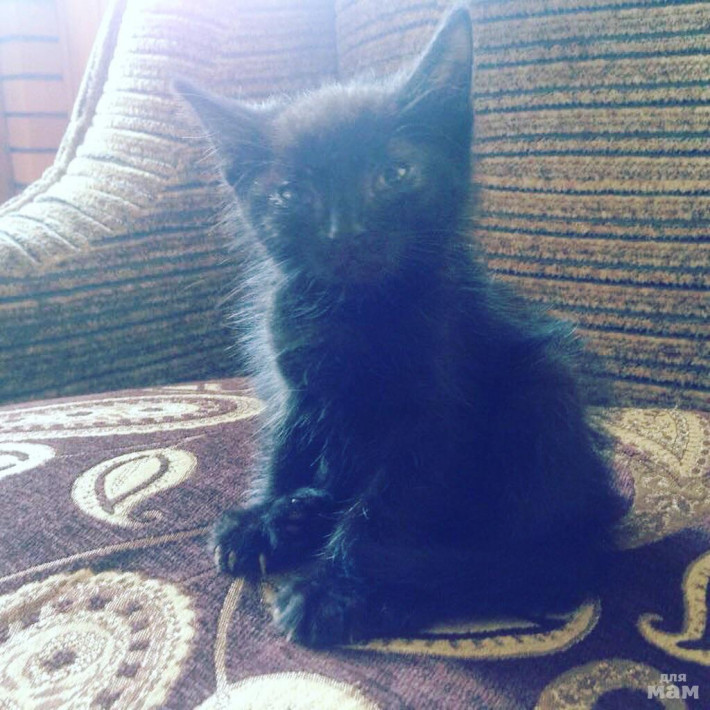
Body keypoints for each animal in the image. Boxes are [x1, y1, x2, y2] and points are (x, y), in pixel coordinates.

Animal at [177, 7, 619, 648]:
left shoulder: (433, 418)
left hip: (545, 385)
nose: (345, 233)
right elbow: (285, 447)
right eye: (290, 193)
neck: (355, 311)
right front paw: (267, 516)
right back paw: (305, 511)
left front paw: (335, 589)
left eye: (395, 174)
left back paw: (411, 587)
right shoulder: (292, 382)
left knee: (530, 567)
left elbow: (384, 513)